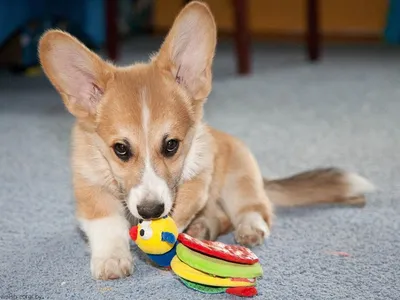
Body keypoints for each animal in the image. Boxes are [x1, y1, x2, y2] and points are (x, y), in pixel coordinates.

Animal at [37, 1, 372, 280]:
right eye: (120, 149)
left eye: (171, 145)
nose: (150, 211)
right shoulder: (90, 188)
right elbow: (107, 225)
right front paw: (111, 261)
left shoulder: (197, 179)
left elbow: (180, 212)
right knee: (220, 218)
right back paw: (204, 227)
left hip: (239, 179)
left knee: (252, 208)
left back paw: (247, 227)